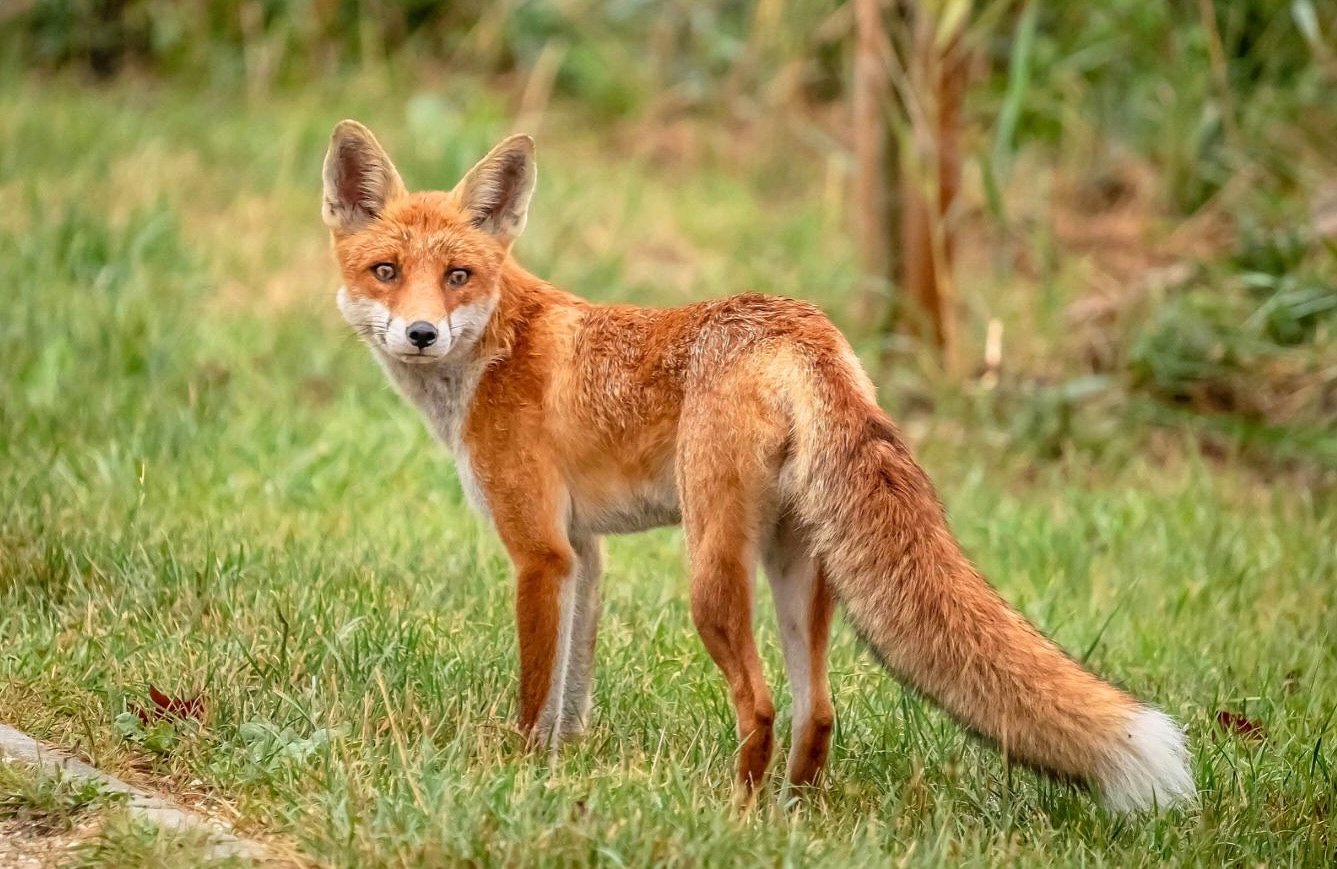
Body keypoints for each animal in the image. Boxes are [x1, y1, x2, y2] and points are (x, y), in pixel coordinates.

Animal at [322, 119, 1195, 812]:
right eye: (386, 272)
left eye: (458, 275)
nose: (422, 334)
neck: (494, 351)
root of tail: (800, 325)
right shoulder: (584, 553)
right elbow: (572, 689)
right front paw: (561, 767)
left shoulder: (539, 551)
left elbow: (537, 692)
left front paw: (520, 772)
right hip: (798, 569)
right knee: (818, 710)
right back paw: (793, 814)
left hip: (711, 573)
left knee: (763, 705)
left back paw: (734, 811)